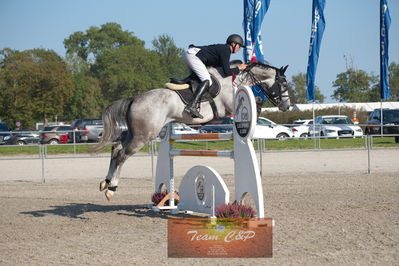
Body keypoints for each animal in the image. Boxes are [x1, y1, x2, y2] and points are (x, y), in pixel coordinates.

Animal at [93, 61, 294, 200]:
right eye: (283, 84)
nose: (287, 106)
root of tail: (134, 99)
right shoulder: (229, 106)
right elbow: (255, 102)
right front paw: (258, 108)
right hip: (144, 135)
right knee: (122, 155)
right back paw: (111, 189)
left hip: (135, 132)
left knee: (116, 148)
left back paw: (105, 182)